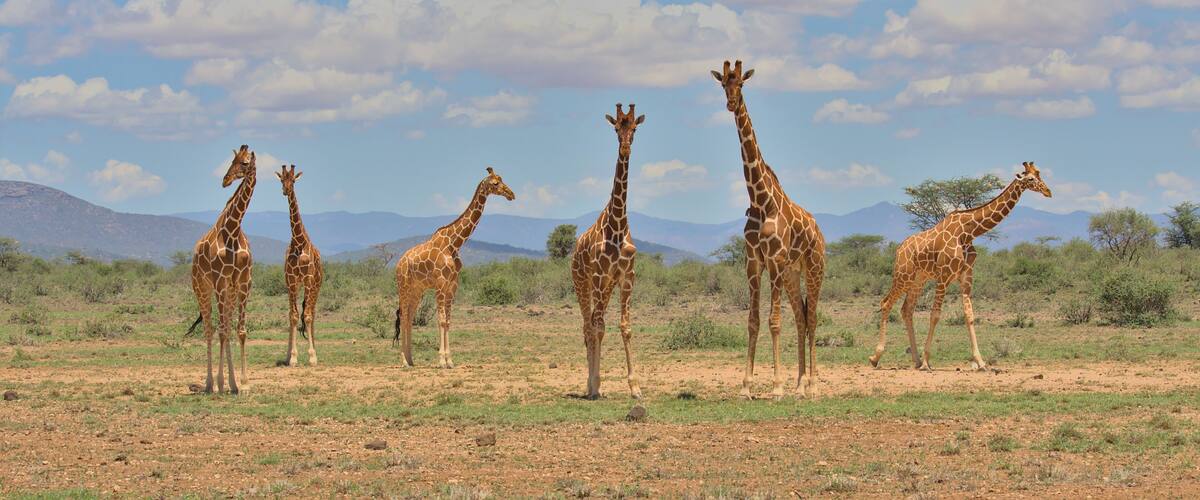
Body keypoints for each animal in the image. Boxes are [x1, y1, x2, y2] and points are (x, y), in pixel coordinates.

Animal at [187, 145, 256, 394]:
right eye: (231, 161)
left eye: (244, 163)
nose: (225, 180)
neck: (233, 231)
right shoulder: (218, 280)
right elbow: (222, 330)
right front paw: (223, 382)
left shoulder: (243, 281)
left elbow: (239, 330)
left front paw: (242, 383)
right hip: (202, 288)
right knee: (209, 329)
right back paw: (210, 384)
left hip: (229, 291)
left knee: (224, 326)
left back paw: (226, 383)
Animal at [392, 167, 515, 368]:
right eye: (495, 183)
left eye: (502, 179)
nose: (511, 194)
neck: (455, 243)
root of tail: (398, 263)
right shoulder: (441, 284)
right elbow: (441, 320)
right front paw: (442, 360)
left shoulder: (452, 286)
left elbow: (448, 321)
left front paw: (450, 360)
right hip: (403, 287)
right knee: (403, 317)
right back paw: (403, 360)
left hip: (417, 290)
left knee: (409, 317)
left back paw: (411, 360)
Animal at [713, 60, 826, 399]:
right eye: (723, 83)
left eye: (741, 84)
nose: (731, 103)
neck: (760, 199)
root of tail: (820, 233)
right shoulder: (754, 261)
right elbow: (753, 320)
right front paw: (746, 387)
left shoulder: (774, 260)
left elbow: (775, 321)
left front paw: (776, 387)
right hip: (791, 272)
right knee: (802, 317)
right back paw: (799, 384)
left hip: (814, 268)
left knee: (813, 317)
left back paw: (812, 386)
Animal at [869, 162, 1053, 371]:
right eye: (1030, 179)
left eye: (1040, 175)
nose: (1048, 191)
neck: (968, 231)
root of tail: (899, 249)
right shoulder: (944, 276)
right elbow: (935, 315)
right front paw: (927, 362)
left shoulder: (966, 276)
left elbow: (969, 315)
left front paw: (980, 362)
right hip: (903, 275)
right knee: (886, 303)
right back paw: (876, 357)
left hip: (918, 279)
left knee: (906, 309)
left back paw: (915, 360)